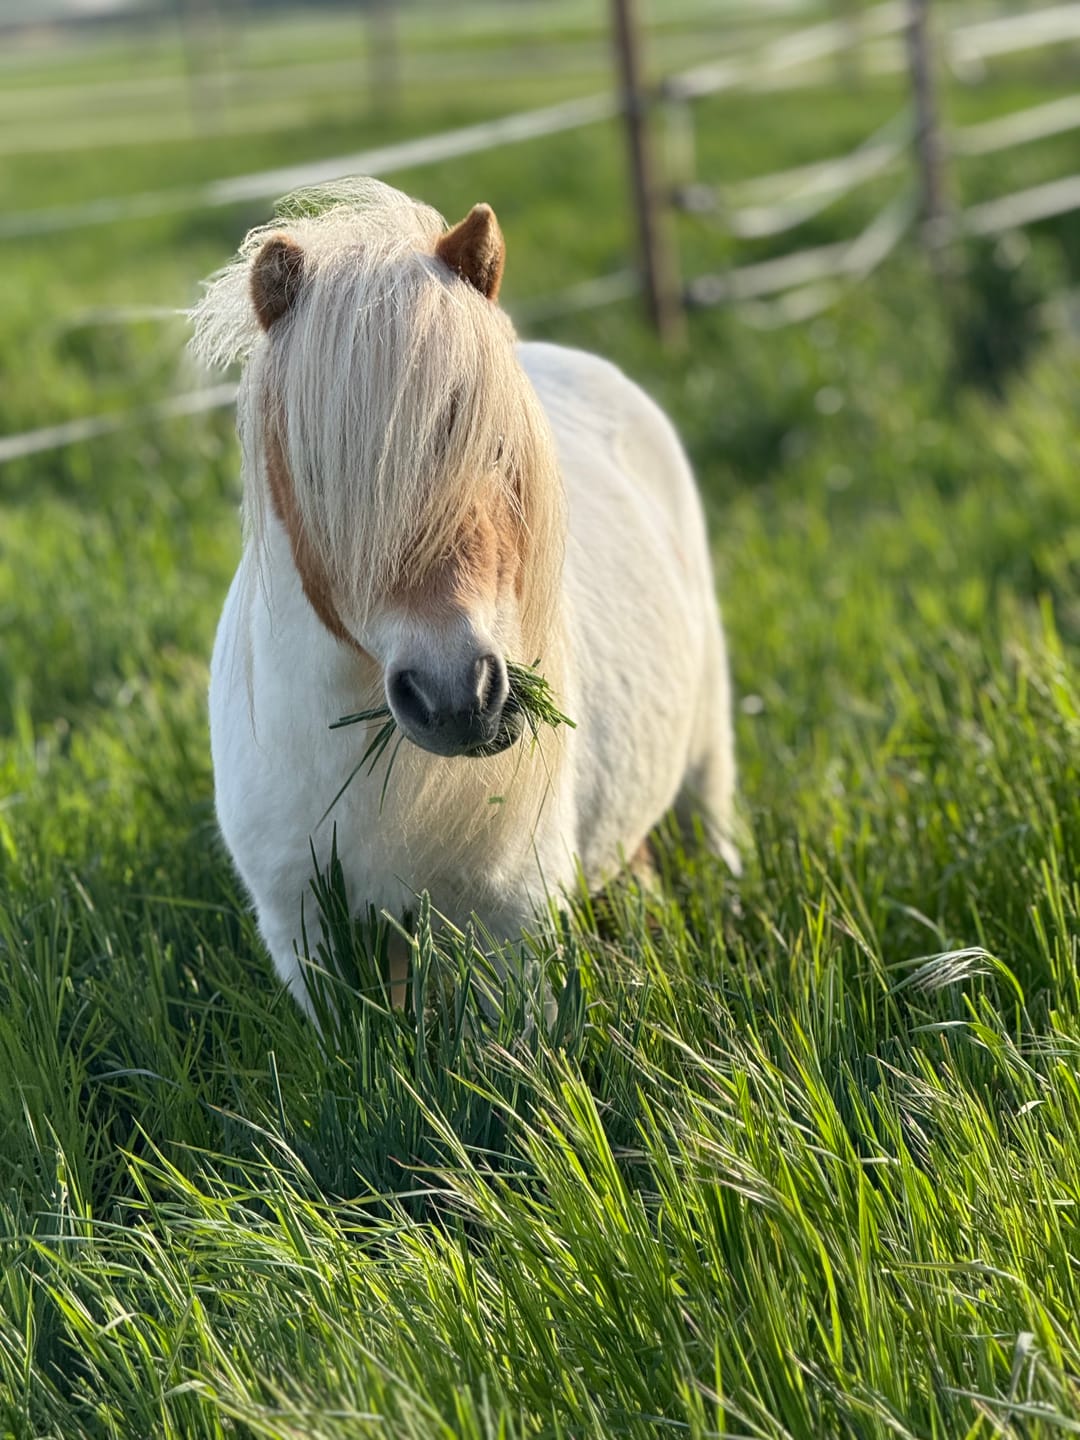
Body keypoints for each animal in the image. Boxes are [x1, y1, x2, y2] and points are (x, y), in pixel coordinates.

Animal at [192, 178, 738, 1016]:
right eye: (320, 478)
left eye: (497, 448)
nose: (457, 697)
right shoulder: (304, 936)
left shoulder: (512, 931)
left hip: (706, 754)